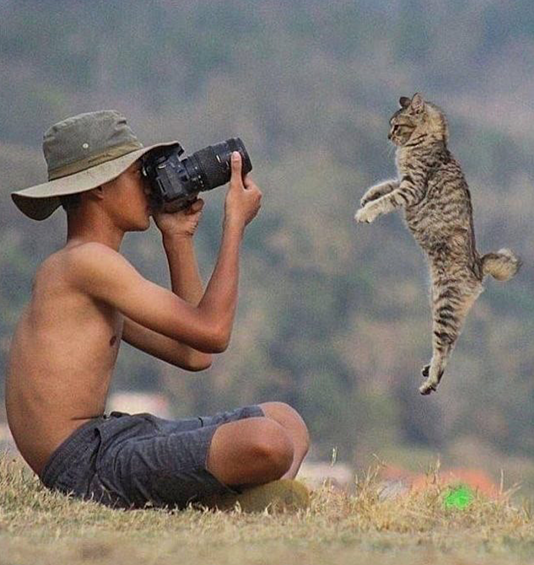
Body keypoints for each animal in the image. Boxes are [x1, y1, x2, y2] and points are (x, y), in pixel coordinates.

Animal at [358, 93, 520, 392]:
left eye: (396, 125)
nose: (388, 136)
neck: (428, 141)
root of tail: (479, 267)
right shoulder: (402, 181)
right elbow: (384, 186)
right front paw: (367, 197)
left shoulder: (411, 187)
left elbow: (386, 199)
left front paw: (366, 212)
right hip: (439, 303)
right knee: (449, 343)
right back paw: (428, 369)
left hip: (445, 304)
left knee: (444, 349)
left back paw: (430, 381)